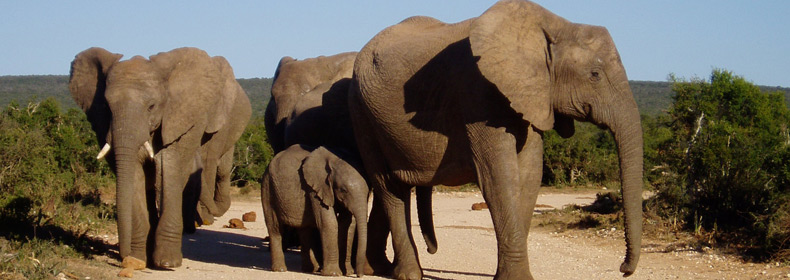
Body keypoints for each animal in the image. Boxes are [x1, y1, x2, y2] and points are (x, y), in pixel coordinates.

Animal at [71, 47, 252, 270]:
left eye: (151, 106)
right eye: (106, 106)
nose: (124, 256)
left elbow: (170, 165)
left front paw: (167, 262)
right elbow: (134, 174)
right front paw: (138, 259)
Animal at [262, 145, 370, 276]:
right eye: (343, 190)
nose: (359, 275)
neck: (336, 159)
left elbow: (348, 226)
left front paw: (347, 272)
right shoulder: (315, 188)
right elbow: (329, 223)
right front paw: (333, 274)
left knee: (305, 229)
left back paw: (311, 269)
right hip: (268, 186)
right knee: (275, 227)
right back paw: (280, 269)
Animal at [352, 1, 644, 278]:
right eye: (595, 75)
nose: (622, 269)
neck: (554, 26)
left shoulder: (531, 96)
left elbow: (529, 174)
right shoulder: (478, 93)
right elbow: (499, 177)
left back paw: (381, 269)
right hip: (365, 115)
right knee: (390, 188)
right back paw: (409, 275)